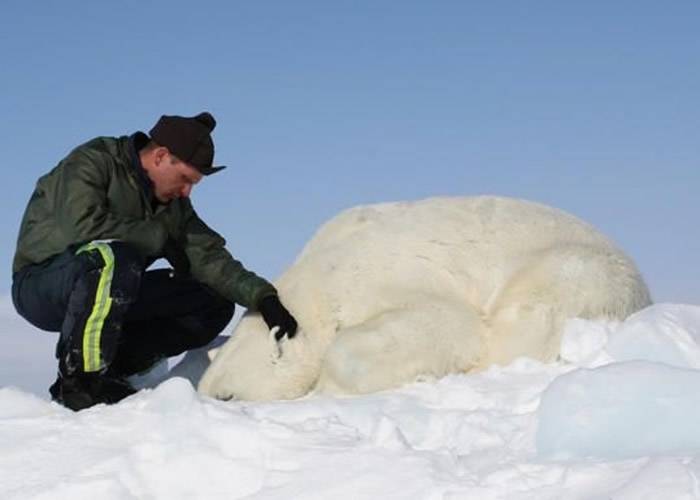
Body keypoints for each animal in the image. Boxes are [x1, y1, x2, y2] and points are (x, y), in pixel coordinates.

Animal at [197, 197, 652, 400]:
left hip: (580, 270)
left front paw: (327, 386)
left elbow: (449, 323)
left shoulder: (384, 273)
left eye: (227, 396)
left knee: (528, 316)